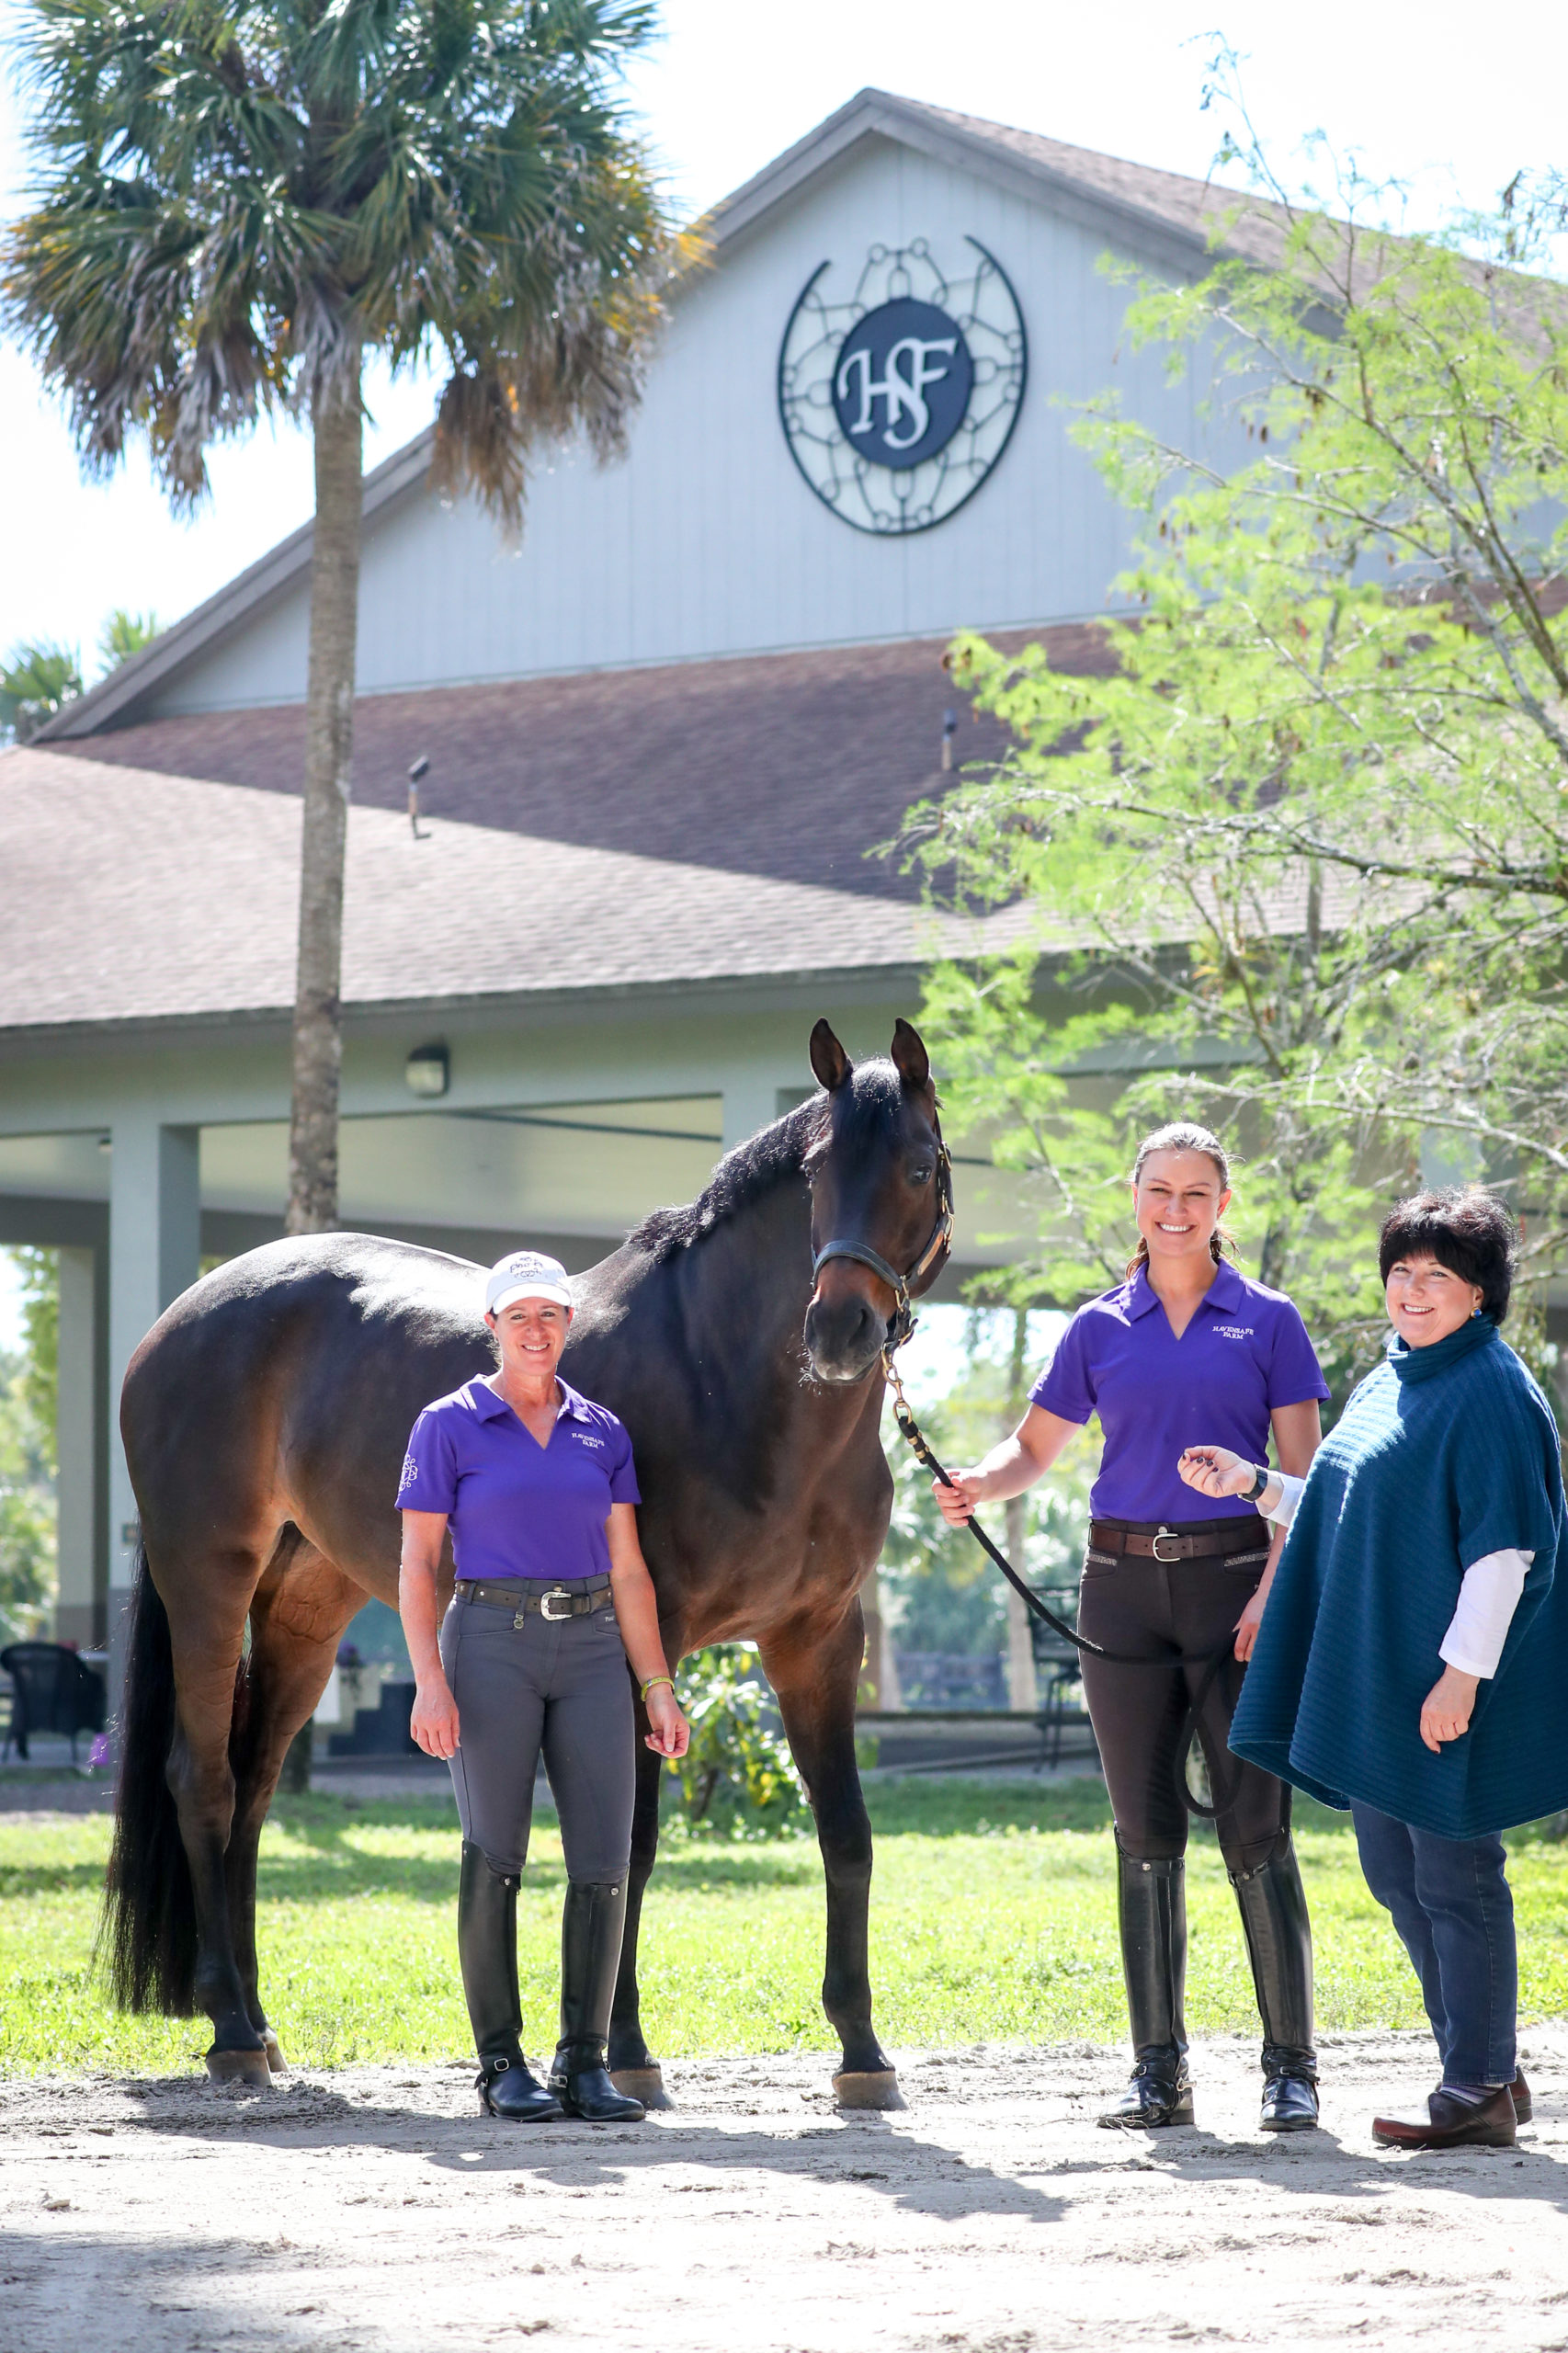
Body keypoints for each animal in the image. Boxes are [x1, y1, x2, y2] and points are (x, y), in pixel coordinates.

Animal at [109, 1021, 946, 2108]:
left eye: (919, 1166)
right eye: (814, 1174)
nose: (838, 1333)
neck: (726, 1380)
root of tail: (181, 1315)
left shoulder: (820, 1642)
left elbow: (845, 1832)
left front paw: (862, 2052)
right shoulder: (645, 1640)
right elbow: (628, 1845)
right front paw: (626, 2052)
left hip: (304, 1605)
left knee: (252, 1785)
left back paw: (257, 2022)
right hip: (205, 1579)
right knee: (201, 1778)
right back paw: (229, 2030)